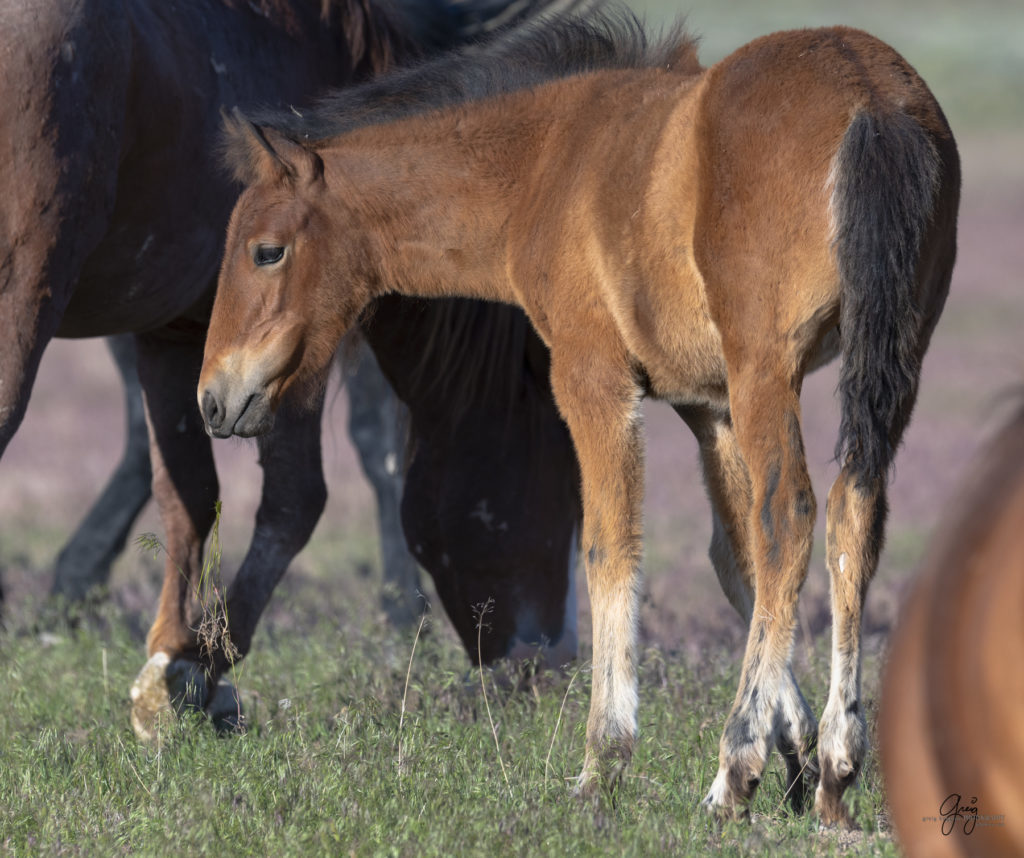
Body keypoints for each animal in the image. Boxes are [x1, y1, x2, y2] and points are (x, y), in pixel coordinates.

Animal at [0, 0, 581, 737]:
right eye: (566, 470)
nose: (550, 663)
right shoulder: (286, 346)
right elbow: (297, 497)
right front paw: (193, 675)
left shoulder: (173, 332)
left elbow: (186, 494)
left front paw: (170, 659)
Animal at [201, 11, 958, 827]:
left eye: (266, 251)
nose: (213, 400)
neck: (548, 164)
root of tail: (870, 94)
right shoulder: (708, 406)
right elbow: (736, 561)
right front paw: (791, 752)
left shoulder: (593, 379)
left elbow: (609, 547)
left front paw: (606, 761)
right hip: (892, 360)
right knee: (851, 514)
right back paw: (835, 772)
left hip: (770, 370)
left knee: (790, 514)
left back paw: (733, 769)